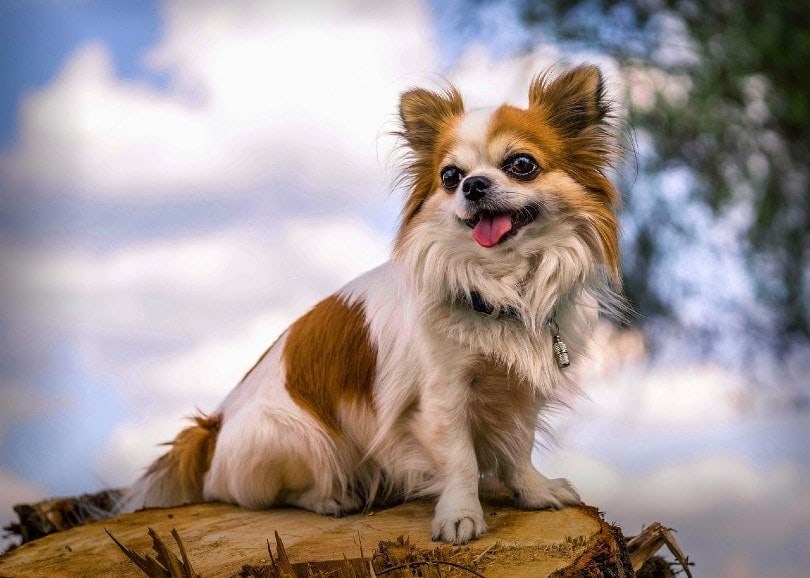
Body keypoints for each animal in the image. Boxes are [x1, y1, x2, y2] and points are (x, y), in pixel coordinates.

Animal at [123, 65, 620, 544]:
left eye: (521, 165)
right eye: (449, 177)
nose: (474, 185)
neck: (500, 287)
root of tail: (213, 430)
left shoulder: (519, 392)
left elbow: (519, 448)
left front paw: (534, 493)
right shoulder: (442, 398)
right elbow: (460, 460)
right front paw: (460, 516)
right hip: (297, 436)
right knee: (267, 495)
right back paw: (332, 498)